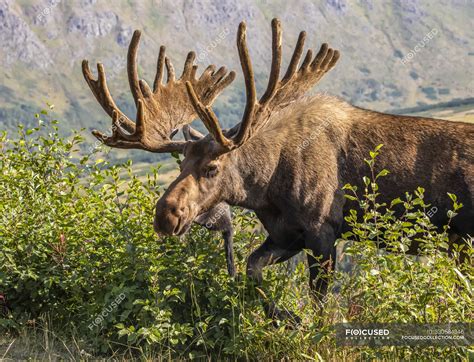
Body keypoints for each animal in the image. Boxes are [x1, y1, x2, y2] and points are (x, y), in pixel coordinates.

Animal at [83, 19, 472, 320]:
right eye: (181, 163)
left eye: (212, 167)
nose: (166, 214)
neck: (265, 188)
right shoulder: (287, 234)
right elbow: (251, 270)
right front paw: (283, 316)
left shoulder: (322, 231)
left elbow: (319, 304)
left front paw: (307, 328)